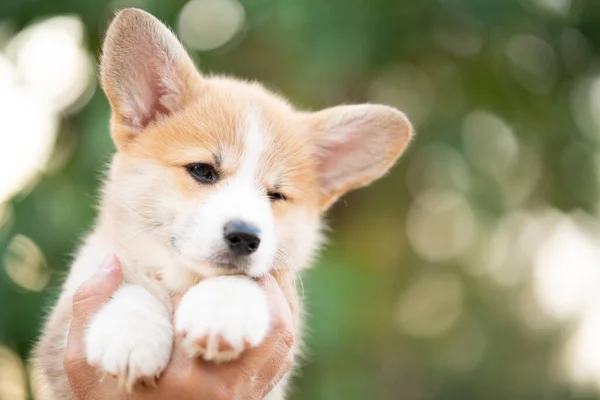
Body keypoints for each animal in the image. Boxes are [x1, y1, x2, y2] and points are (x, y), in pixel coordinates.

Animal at [32, 7, 412, 400]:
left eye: (276, 195)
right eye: (202, 171)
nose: (245, 237)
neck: (183, 279)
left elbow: (244, 278)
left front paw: (220, 313)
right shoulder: (65, 323)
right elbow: (130, 283)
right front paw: (131, 335)